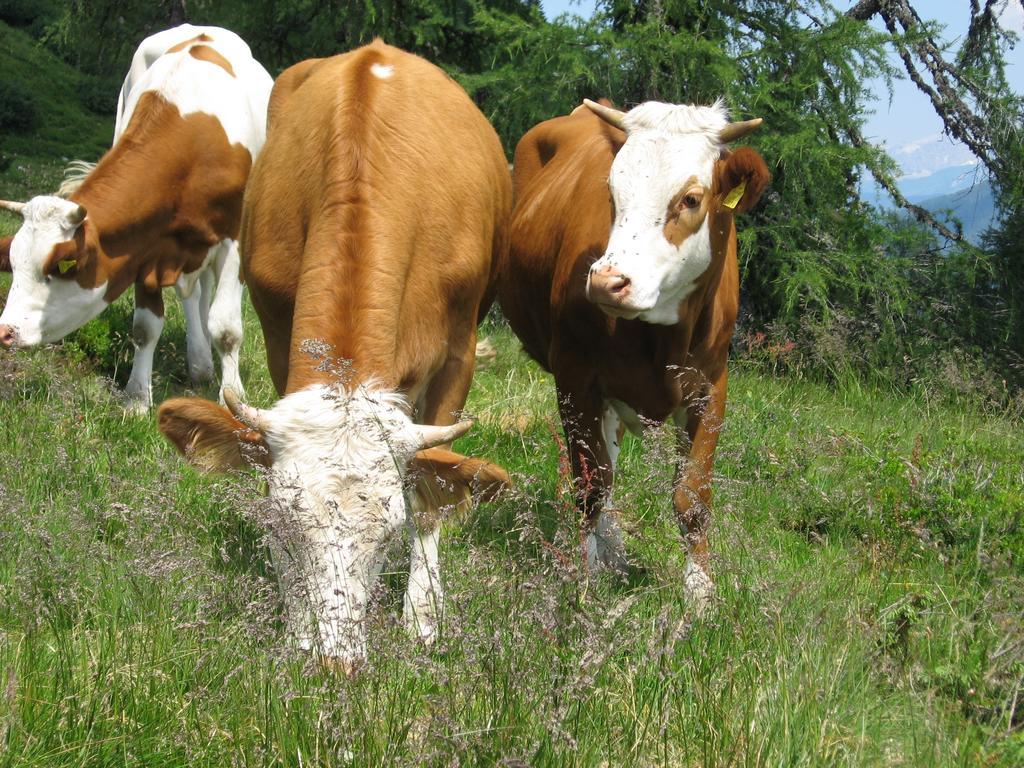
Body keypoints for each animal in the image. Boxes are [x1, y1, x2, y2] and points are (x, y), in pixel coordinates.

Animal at [0, 22, 272, 409]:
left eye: (58, 266)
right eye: (13, 264)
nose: (6, 331)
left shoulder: (232, 240)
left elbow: (226, 328)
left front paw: (232, 398)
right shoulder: (147, 243)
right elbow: (145, 327)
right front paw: (137, 398)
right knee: (193, 294)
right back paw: (199, 361)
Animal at [154, 41, 512, 671]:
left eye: (387, 534)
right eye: (279, 523)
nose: (335, 663)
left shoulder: (459, 352)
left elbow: (431, 492)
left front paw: (423, 617)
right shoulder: (277, 330)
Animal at [495, 99, 770, 610]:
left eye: (691, 199)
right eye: (611, 191)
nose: (607, 282)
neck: (662, 339)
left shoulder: (711, 386)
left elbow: (692, 495)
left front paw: (700, 594)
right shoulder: (576, 379)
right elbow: (590, 485)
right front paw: (585, 583)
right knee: (602, 471)